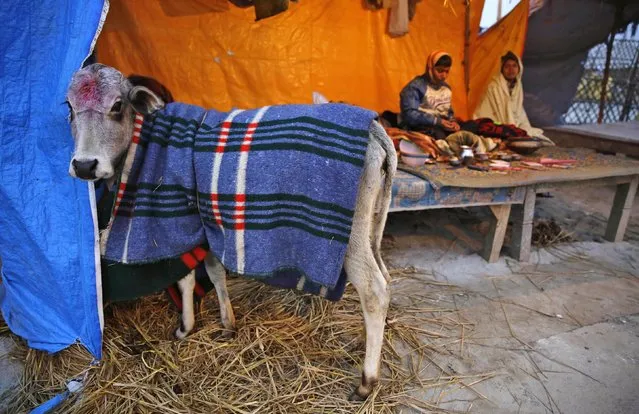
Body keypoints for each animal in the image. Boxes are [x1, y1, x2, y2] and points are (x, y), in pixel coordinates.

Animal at [65, 63, 396, 400]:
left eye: (117, 105)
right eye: (70, 108)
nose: (84, 165)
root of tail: (374, 129)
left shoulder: (182, 222)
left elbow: (185, 278)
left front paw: (185, 327)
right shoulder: (208, 223)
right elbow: (213, 272)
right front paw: (227, 323)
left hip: (351, 237)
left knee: (375, 291)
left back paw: (366, 381)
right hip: (372, 226)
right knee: (385, 276)